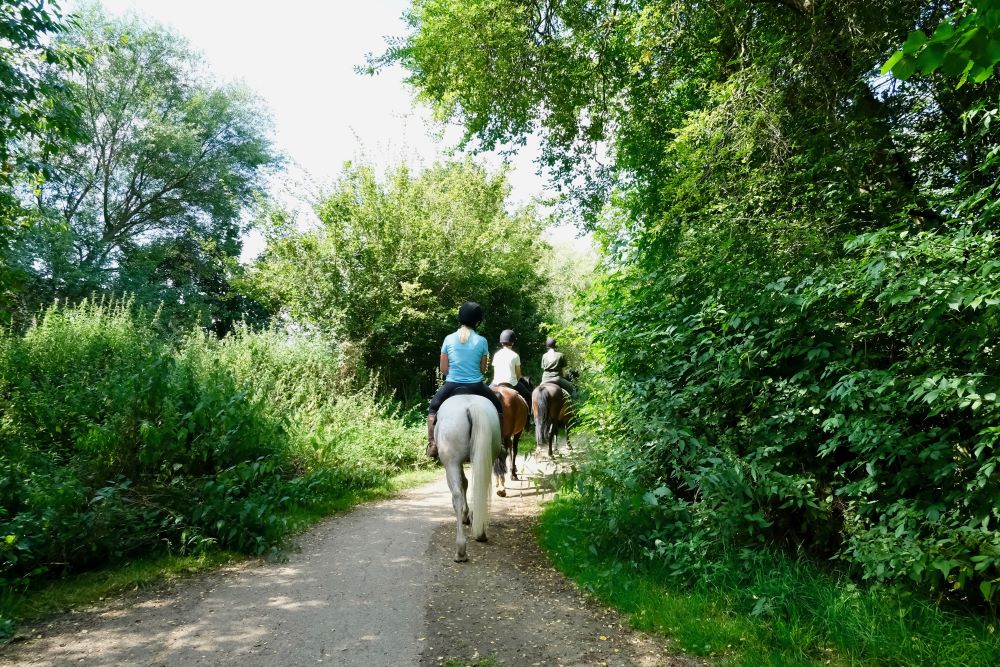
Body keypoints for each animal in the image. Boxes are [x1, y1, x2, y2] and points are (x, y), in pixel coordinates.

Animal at [435, 394, 504, 562]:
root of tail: (471, 406)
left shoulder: (456, 464)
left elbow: (463, 484)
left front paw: (466, 515)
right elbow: (466, 483)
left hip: (451, 463)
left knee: (457, 497)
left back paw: (461, 550)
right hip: (486, 456)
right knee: (481, 489)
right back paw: (481, 532)